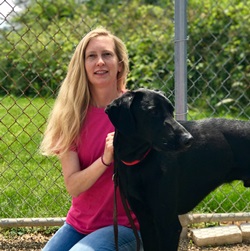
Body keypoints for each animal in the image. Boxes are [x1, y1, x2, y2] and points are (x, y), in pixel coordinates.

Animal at [105, 88, 250, 251]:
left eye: (171, 110)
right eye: (152, 111)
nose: (188, 139)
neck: (139, 160)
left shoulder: (169, 225)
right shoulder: (145, 221)